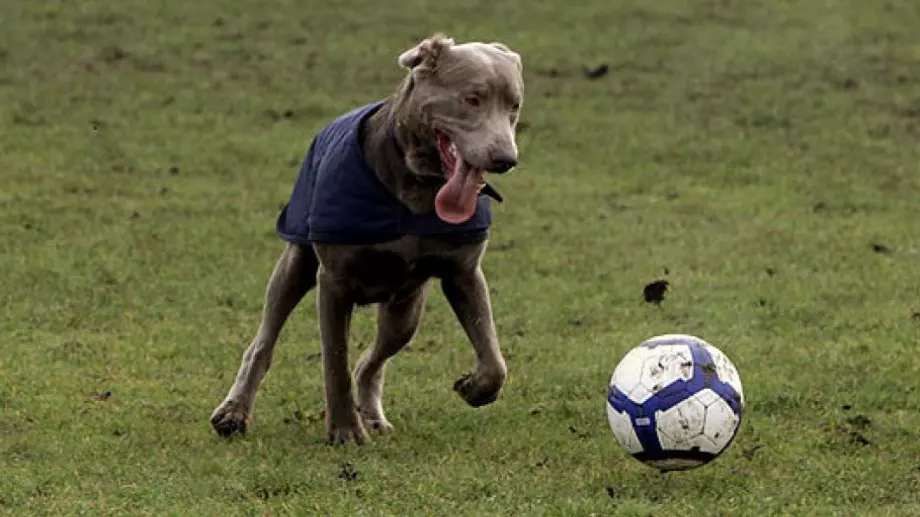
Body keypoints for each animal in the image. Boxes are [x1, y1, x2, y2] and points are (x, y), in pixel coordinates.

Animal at [209, 33, 524, 444]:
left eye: (514, 106)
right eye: (472, 98)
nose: (505, 158)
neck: (418, 186)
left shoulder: (464, 274)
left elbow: (494, 360)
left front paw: (473, 388)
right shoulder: (334, 282)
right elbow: (335, 361)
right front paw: (345, 431)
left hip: (406, 308)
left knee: (370, 361)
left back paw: (373, 416)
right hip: (295, 265)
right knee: (265, 339)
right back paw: (234, 412)